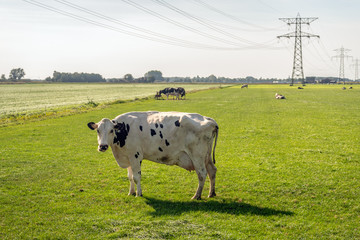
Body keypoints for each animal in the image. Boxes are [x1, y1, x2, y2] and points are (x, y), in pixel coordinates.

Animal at [86, 111, 219, 200]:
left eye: (111, 131)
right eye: (98, 131)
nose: (102, 146)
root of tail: (209, 119)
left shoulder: (135, 156)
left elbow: (136, 177)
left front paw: (139, 194)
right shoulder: (128, 156)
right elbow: (130, 177)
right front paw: (131, 192)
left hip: (197, 156)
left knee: (202, 174)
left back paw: (197, 196)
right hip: (207, 157)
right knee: (212, 171)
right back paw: (211, 193)